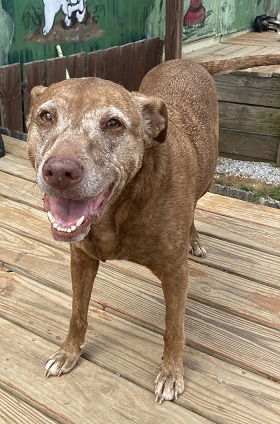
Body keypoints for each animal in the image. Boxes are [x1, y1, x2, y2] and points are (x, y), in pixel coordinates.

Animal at [26, 53, 280, 404]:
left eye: (113, 124)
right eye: (46, 116)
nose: (60, 171)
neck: (117, 211)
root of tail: (190, 62)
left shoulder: (175, 273)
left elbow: (174, 328)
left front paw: (171, 373)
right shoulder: (81, 259)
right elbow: (77, 313)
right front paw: (68, 352)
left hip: (207, 175)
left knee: (195, 205)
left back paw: (194, 239)